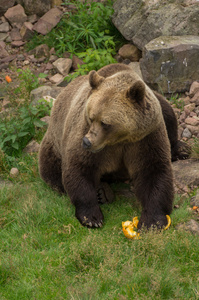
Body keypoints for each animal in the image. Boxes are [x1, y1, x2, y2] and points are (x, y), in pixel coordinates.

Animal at [39, 62, 190, 227]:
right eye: (91, 118)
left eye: (105, 123)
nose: (87, 142)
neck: (120, 139)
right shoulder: (86, 136)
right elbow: (79, 166)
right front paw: (92, 217)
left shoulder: (146, 137)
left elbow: (153, 170)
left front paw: (152, 220)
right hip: (55, 142)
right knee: (52, 170)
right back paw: (102, 192)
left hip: (161, 106)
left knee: (169, 115)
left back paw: (182, 150)